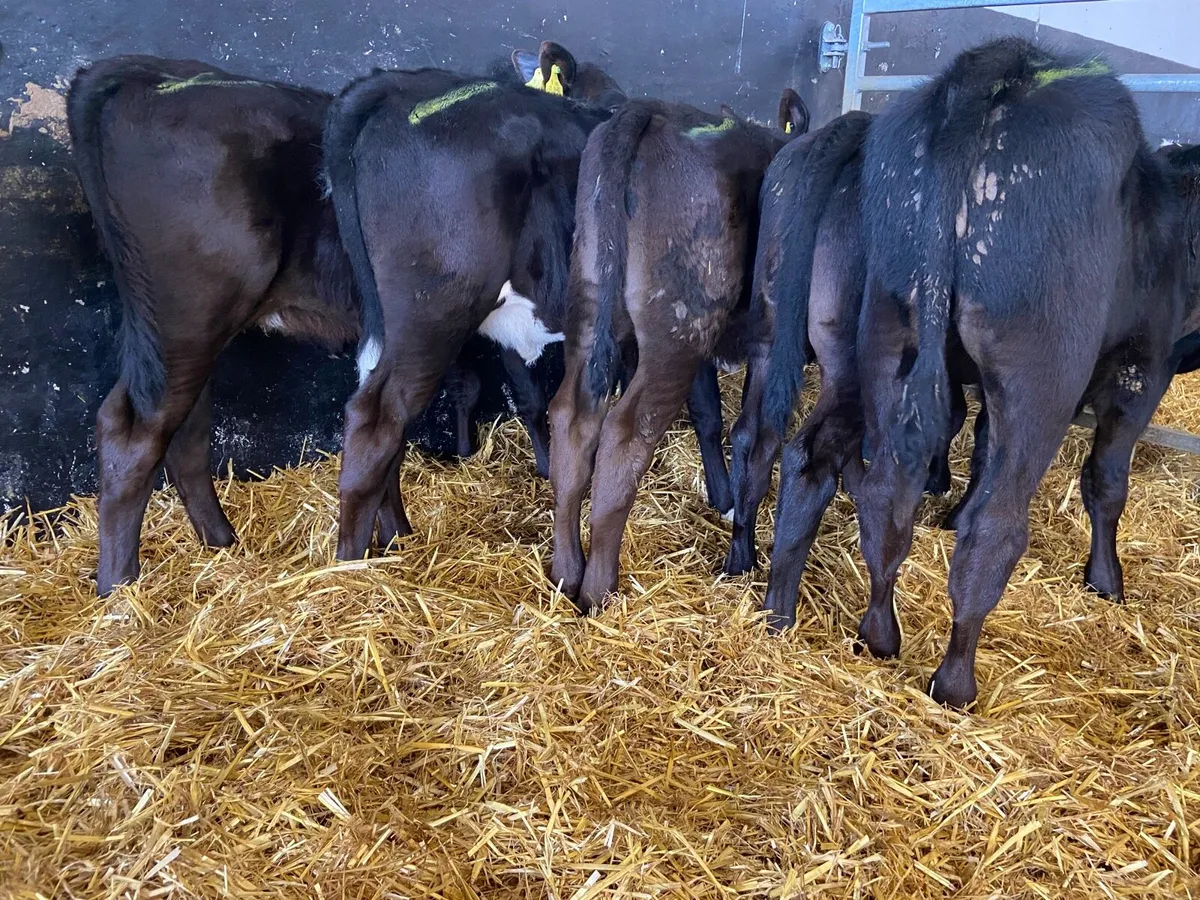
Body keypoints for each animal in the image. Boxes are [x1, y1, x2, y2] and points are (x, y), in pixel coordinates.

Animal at [68, 50, 549, 596]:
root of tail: (144, 73)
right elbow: (519, 396)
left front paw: (396, 535)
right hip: (189, 315)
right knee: (136, 433)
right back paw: (120, 588)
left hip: (169, 328)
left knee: (182, 431)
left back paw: (223, 545)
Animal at [322, 44, 631, 562]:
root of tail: (396, 86)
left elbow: (529, 397)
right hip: (432, 314)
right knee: (376, 419)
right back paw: (349, 564)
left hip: (389, 319)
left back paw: (396, 534)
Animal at [546, 91, 811, 612]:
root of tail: (649, 112)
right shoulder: (768, 344)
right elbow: (755, 433)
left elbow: (709, 415)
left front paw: (722, 496)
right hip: (680, 327)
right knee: (626, 434)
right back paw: (600, 589)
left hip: (597, 302)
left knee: (572, 419)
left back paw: (567, 574)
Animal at [850, 39, 1200, 708]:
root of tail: (998, 67)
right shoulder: (1142, 369)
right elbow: (1106, 481)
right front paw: (1106, 580)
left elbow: (984, 444)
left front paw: (950, 511)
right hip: (1044, 369)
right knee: (996, 528)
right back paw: (955, 681)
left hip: (887, 322)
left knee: (884, 494)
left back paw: (879, 633)